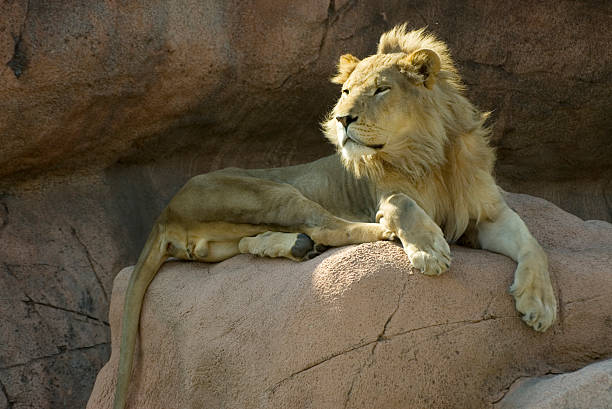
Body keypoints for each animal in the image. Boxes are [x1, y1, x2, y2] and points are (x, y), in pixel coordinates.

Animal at [112, 25, 556, 408]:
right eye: (344, 91)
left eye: (380, 89)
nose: (342, 119)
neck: (431, 156)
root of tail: (165, 210)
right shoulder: (386, 196)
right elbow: (403, 203)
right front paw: (429, 250)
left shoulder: (487, 214)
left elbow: (532, 244)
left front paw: (539, 305)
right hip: (270, 190)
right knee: (328, 224)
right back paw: (374, 235)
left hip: (226, 236)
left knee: (256, 240)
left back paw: (291, 246)